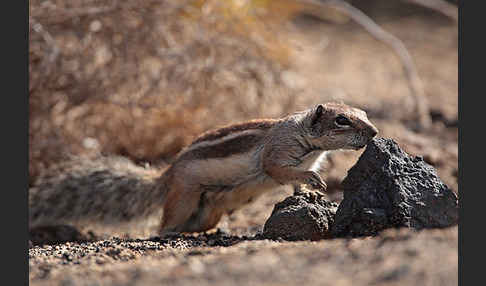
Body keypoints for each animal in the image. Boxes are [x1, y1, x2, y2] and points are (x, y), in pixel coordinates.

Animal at [29, 102, 380, 235]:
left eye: (364, 112)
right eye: (341, 120)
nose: (375, 133)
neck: (308, 140)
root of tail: (167, 175)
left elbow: (295, 186)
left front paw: (312, 195)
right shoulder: (277, 153)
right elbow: (280, 170)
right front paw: (312, 180)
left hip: (213, 207)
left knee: (201, 221)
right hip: (184, 197)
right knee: (166, 223)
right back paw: (169, 233)